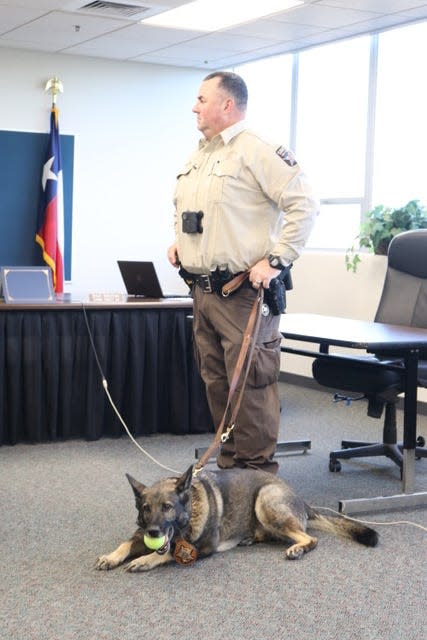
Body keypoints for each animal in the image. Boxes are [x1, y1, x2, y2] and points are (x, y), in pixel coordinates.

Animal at [96, 462, 378, 572]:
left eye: (167, 507)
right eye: (146, 508)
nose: (154, 532)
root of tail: (301, 499)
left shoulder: (199, 549)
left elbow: (166, 554)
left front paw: (144, 559)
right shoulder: (140, 532)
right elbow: (125, 544)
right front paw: (111, 556)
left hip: (265, 500)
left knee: (310, 538)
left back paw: (297, 548)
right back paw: (249, 538)